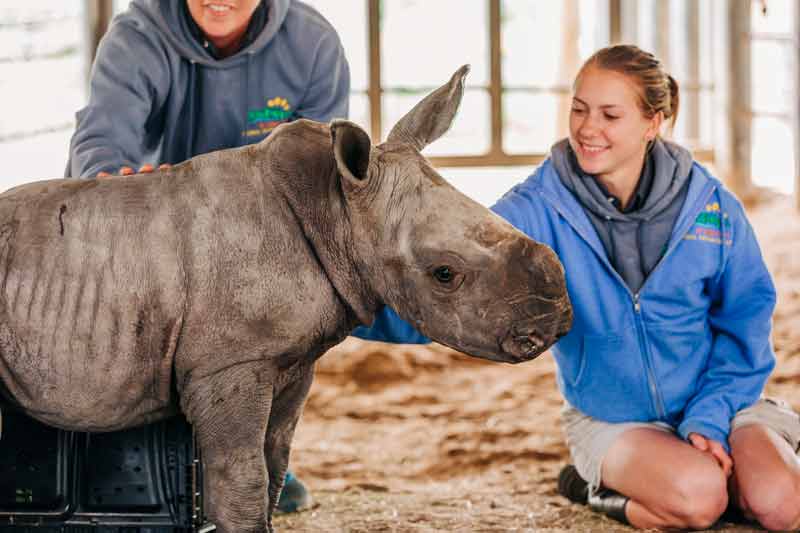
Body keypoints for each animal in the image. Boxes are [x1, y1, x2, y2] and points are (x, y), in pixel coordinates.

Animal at [0, 66, 571, 532]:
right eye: (445, 274)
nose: (559, 319)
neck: (339, 210)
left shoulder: (290, 360)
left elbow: (273, 467)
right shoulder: (228, 363)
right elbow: (242, 483)